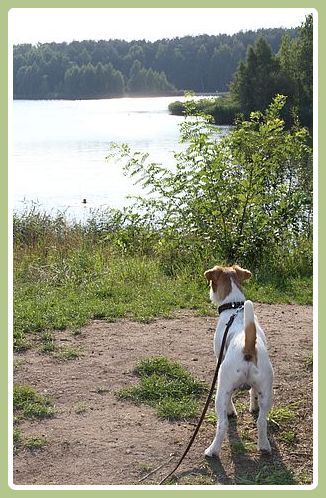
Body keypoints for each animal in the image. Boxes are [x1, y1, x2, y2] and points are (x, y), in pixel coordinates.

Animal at [204, 264, 272, 456]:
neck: (234, 306)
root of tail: (248, 346)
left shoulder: (219, 362)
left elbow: (230, 402)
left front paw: (231, 410)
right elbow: (252, 393)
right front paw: (252, 405)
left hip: (221, 389)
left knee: (222, 424)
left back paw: (212, 450)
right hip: (266, 392)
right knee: (261, 421)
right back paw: (264, 446)